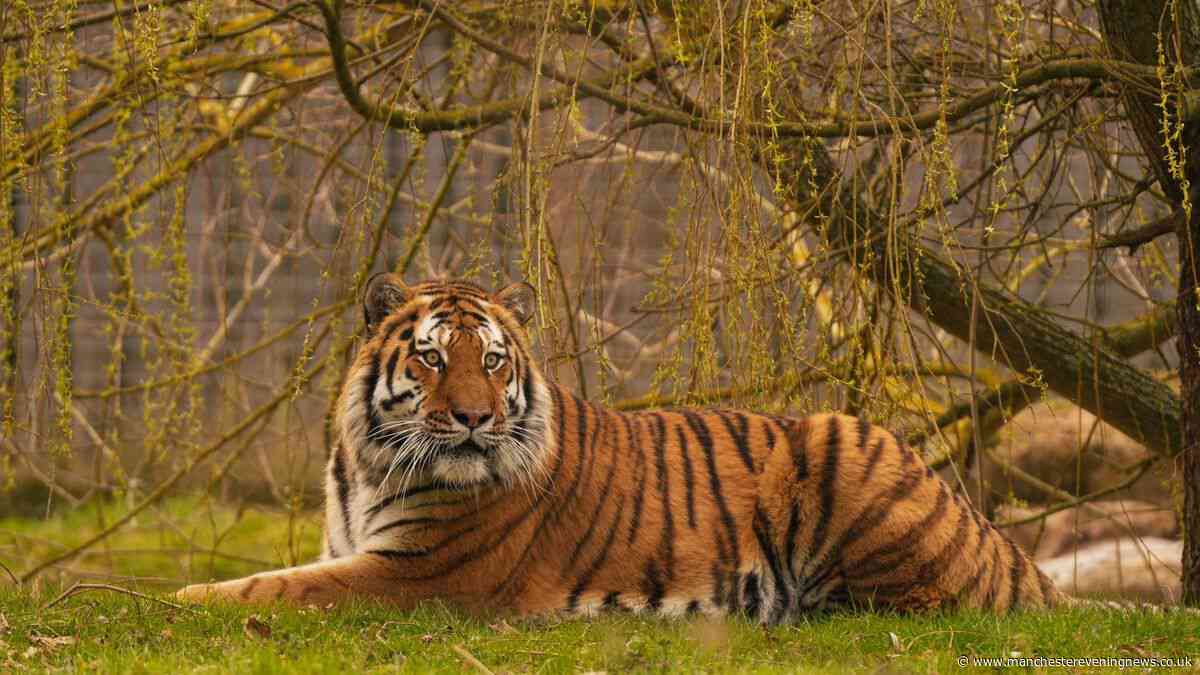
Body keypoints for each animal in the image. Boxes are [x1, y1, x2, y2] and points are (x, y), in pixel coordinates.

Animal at [175, 275, 1066, 623]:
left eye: (491, 360)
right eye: (430, 357)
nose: (472, 418)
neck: (365, 464)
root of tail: (1007, 547)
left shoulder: (417, 573)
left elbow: (269, 587)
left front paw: (167, 596)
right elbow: (277, 577)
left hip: (843, 442)